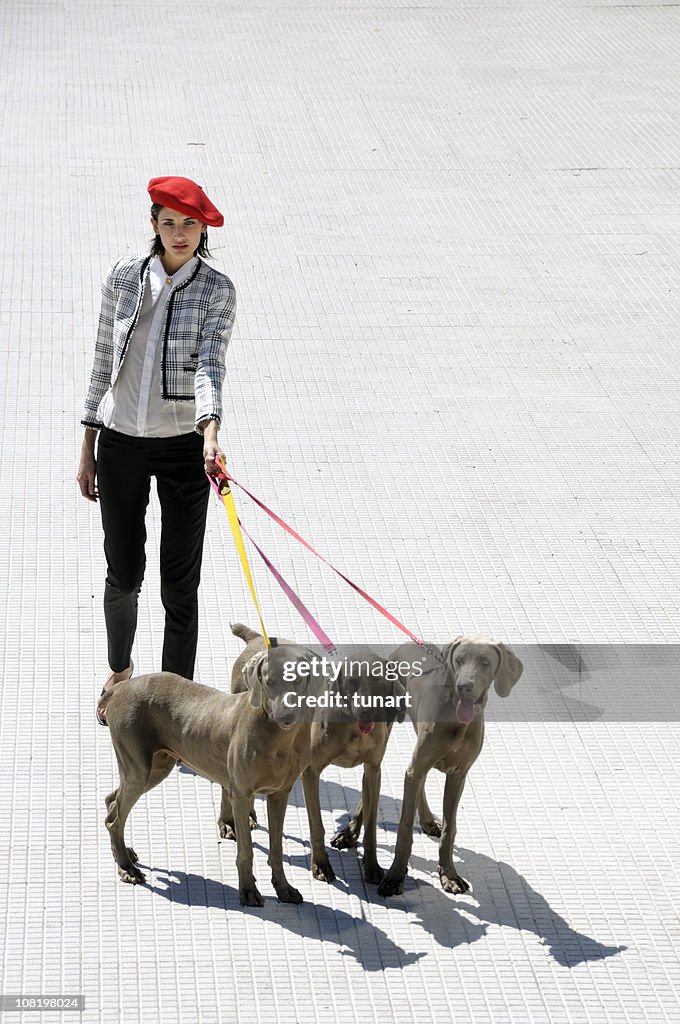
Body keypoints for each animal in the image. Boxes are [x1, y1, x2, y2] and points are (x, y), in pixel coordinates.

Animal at [374, 630, 522, 897]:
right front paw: (395, 876)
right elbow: (403, 830)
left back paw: (427, 820)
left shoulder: (458, 776)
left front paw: (449, 874)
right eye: (459, 660)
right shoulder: (418, 766)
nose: (465, 687)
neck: (455, 717)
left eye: (485, 662)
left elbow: (449, 831)